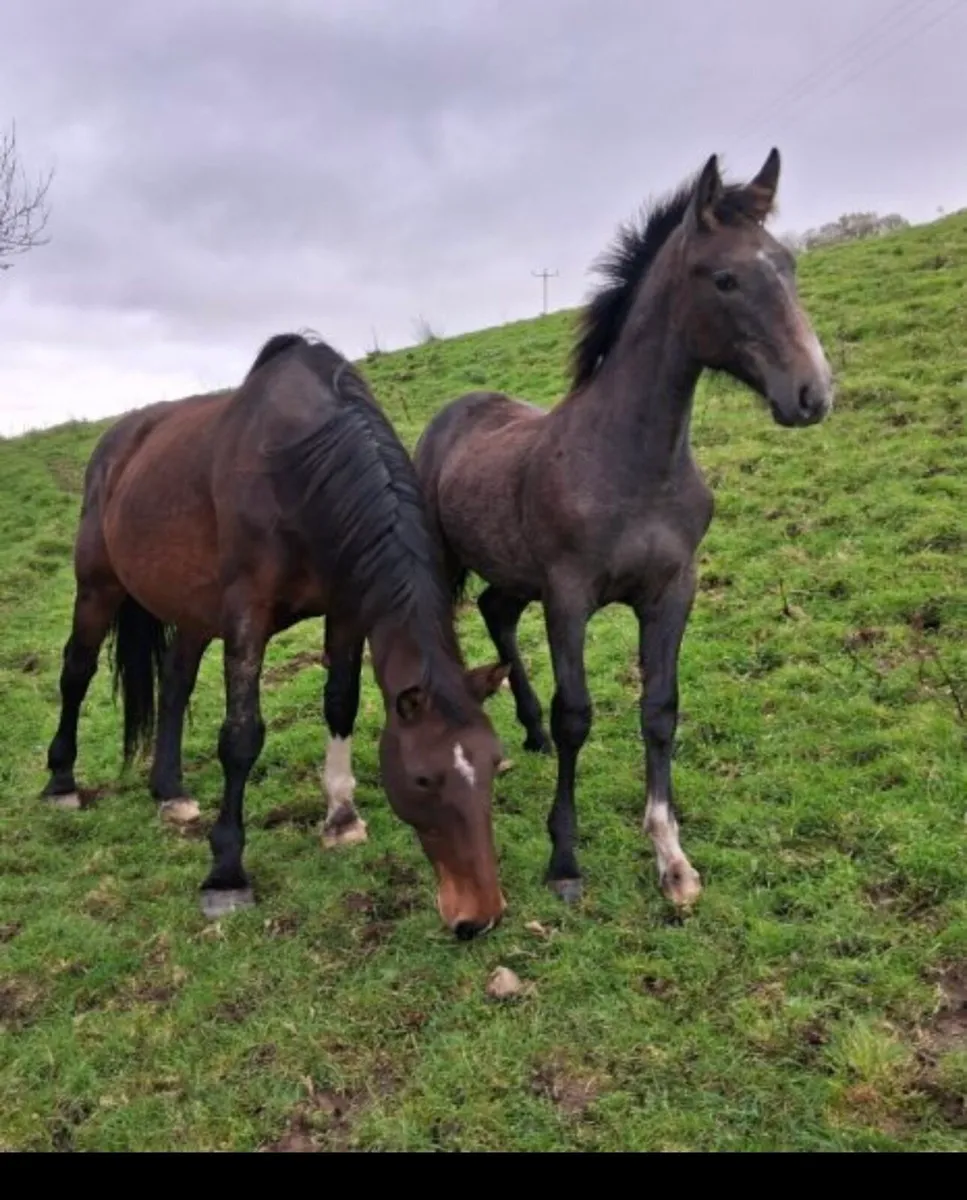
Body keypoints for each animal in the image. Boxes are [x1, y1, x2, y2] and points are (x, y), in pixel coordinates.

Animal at [42, 333, 510, 939]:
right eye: (424, 779)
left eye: (494, 765)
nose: (480, 916)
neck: (299, 468)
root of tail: (116, 442)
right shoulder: (248, 615)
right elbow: (241, 737)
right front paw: (226, 874)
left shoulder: (346, 609)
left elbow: (340, 703)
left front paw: (341, 818)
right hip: (97, 587)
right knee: (76, 672)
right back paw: (61, 783)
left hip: (192, 610)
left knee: (174, 686)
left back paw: (170, 793)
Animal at [414, 149, 834, 909]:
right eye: (724, 278)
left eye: (787, 264)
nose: (812, 394)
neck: (634, 464)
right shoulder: (569, 596)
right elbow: (576, 714)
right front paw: (563, 858)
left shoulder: (671, 591)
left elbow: (660, 709)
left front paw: (671, 858)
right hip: (457, 561)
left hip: (514, 571)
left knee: (496, 611)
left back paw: (525, 732)